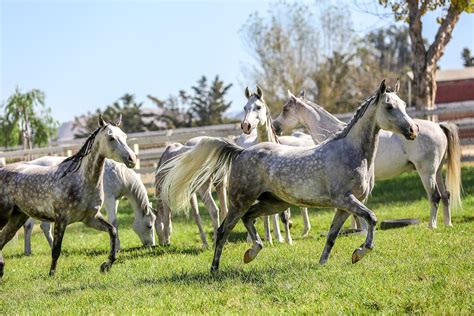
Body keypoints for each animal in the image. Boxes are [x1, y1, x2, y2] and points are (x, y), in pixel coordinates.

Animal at [0, 115, 137, 276]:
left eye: (125, 136)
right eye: (111, 138)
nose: (132, 159)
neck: (81, 180)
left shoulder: (90, 218)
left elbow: (113, 231)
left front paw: (106, 265)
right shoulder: (61, 220)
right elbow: (56, 250)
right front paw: (52, 274)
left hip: (17, 218)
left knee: (2, 239)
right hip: (4, 216)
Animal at [22, 157, 156, 256]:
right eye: (149, 226)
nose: (152, 245)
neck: (120, 175)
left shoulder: (116, 200)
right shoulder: (110, 199)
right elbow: (114, 222)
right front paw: (117, 247)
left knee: (38, 226)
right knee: (33, 226)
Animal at [158, 79, 418, 272]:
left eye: (404, 104)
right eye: (389, 107)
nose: (413, 130)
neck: (351, 152)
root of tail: (241, 151)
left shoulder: (345, 206)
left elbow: (332, 235)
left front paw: (323, 263)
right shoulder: (345, 200)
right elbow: (372, 218)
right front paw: (359, 252)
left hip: (273, 203)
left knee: (250, 219)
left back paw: (251, 253)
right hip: (240, 202)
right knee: (223, 230)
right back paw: (215, 269)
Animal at [272, 82, 462, 228]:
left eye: (285, 109)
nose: (274, 126)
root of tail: (438, 126)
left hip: (426, 173)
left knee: (435, 197)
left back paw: (432, 226)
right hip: (437, 172)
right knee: (446, 196)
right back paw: (448, 224)